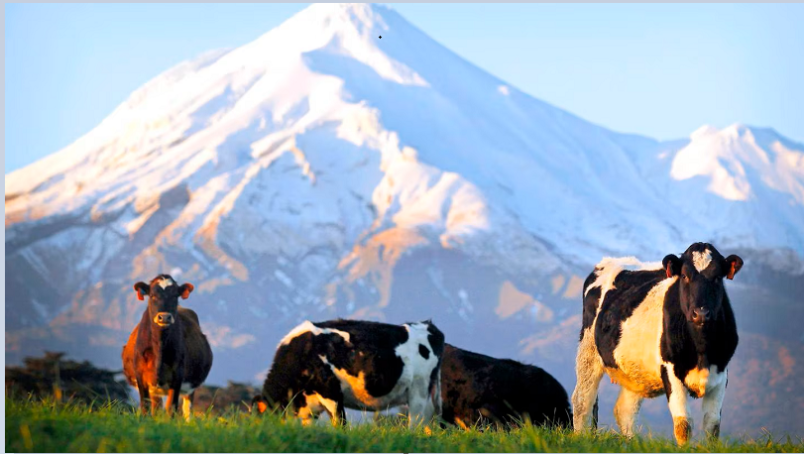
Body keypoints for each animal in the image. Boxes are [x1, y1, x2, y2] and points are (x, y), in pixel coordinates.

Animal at [121, 274, 212, 418]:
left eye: (175, 295)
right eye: (152, 295)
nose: (164, 317)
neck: (160, 347)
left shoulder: (177, 377)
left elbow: (171, 408)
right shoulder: (141, 377)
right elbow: (146, 407)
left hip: (190, 387)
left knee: (187, 410)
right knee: (156, 407)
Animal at [253, 318, 446, 428]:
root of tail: (428, 325)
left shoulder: (331, 392)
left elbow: (341, 424)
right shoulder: (310, 406)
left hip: (418, 391)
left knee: (416, 424)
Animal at [572, 243, 740, 446]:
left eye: (717, 278)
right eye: (685, 276)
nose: (700, 314)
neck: (702, 351)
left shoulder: (722, 372)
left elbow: (712, 425)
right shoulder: (670, 370)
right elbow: (683, 424)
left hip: (635, 371)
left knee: (624, 410)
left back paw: (631, 444)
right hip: (588, 350)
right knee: (582, 401)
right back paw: (580, 439)